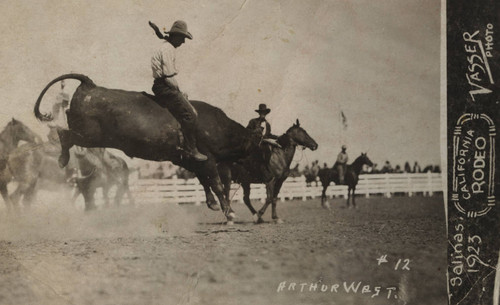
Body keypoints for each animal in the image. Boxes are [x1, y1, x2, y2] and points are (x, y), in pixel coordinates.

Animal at [34, 72, 262, 222]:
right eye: (259, 149)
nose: (266, 173)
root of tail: (90, 86)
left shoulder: (192, 161)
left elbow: (205, 182)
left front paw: (213, 204)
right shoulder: (207, 159)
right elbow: (215, 183)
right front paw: (229, 211)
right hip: (88, 135)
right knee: (64, 135)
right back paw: (62, 159)